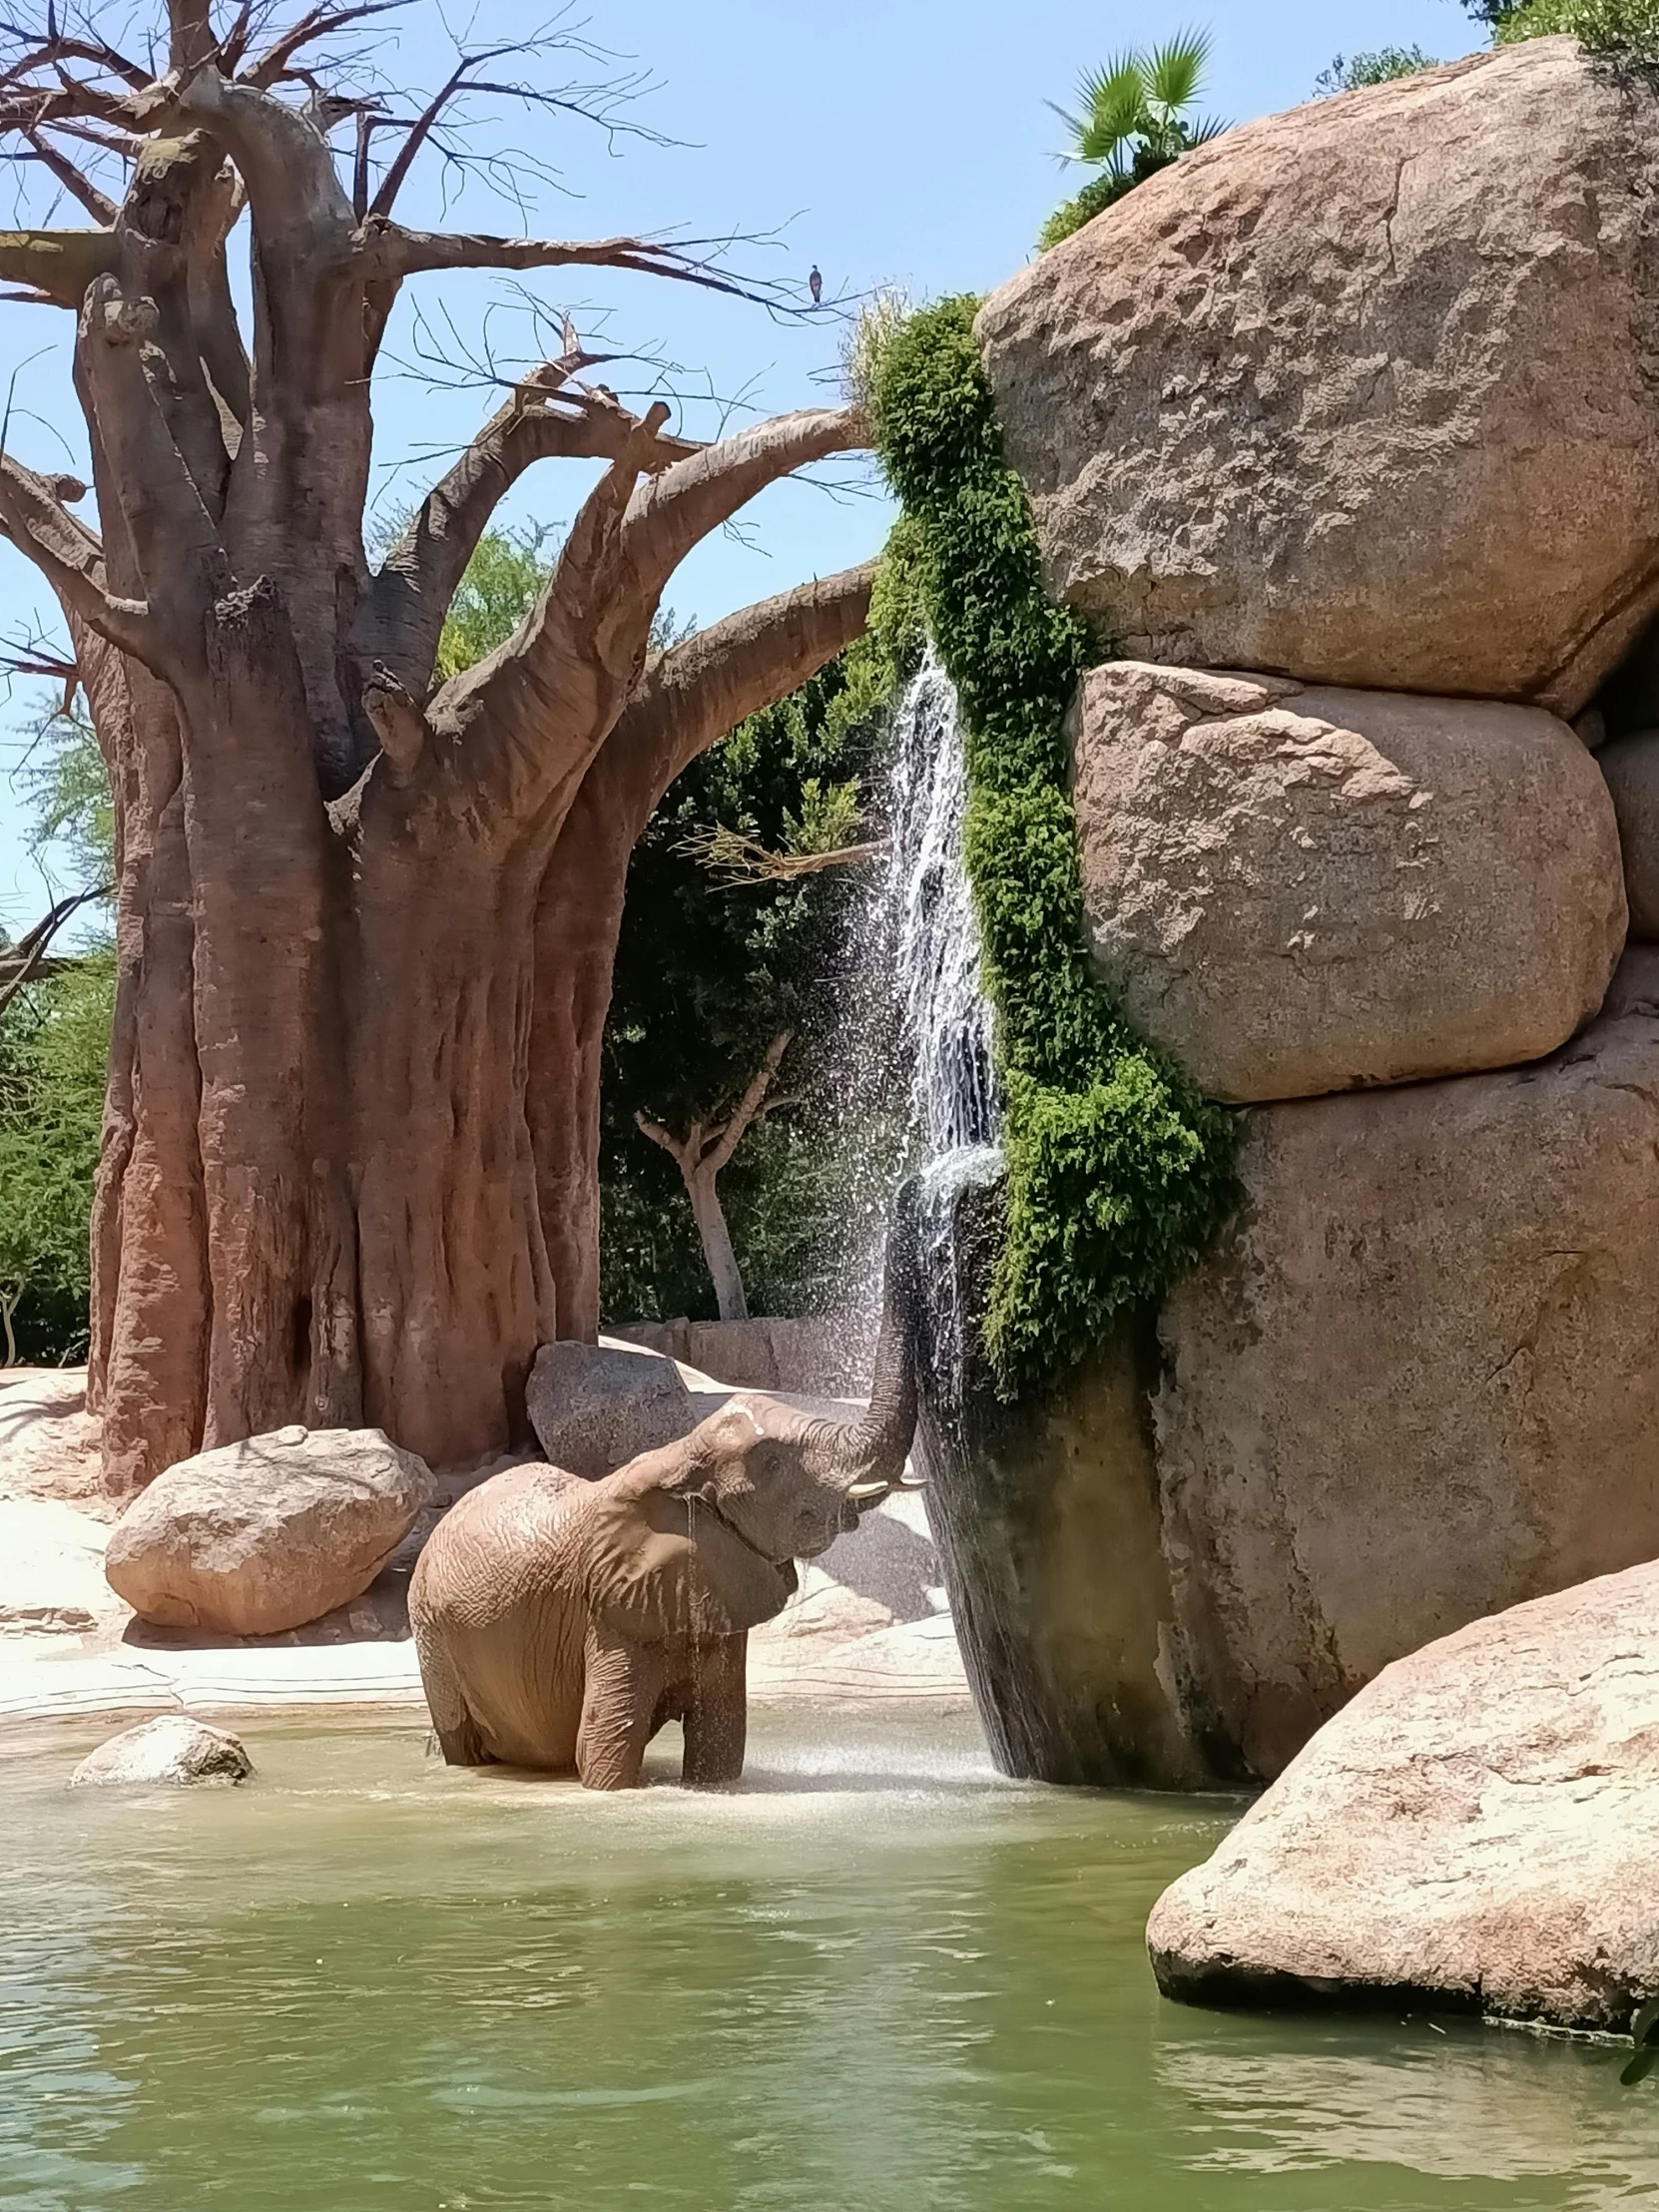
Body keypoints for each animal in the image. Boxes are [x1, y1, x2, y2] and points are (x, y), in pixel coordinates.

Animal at [406, 1203, 924, 1787]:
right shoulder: (610, 1611)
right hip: (433, 1635)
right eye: (771, 1464)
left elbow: (721, 1738)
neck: (680, 1459)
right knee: (460, 1737)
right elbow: (606, 1748)